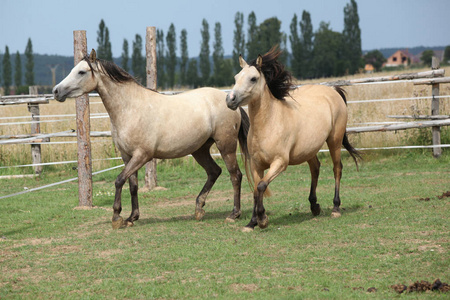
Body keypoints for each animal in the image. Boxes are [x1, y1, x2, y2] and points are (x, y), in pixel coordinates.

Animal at [53, 49, 251, 229]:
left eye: (81, 72)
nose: (56, 91)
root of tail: (229, 100)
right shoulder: (127, 156)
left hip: (226, 146)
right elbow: (132, 185)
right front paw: (132, 217)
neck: (130, 108)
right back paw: (199, 209)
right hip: (200, 150)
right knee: (214, 172)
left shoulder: (142, 155)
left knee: (235, 175)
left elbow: (119, 180)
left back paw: (234, 214)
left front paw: (117, 217)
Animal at [227, 47, 360, 231]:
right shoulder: (256, 165)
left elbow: (261, 186)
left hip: (335, 141)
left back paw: (335, 208)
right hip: (310, 149)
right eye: (235, 77)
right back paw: (314, 206)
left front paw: (262, 220)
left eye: (253, 78)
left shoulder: (280, 163)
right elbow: (255, 190)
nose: (230, 99)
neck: (269, 124)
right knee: (315, 168)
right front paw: (251, 223)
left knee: (337, 169)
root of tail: (333, 91)